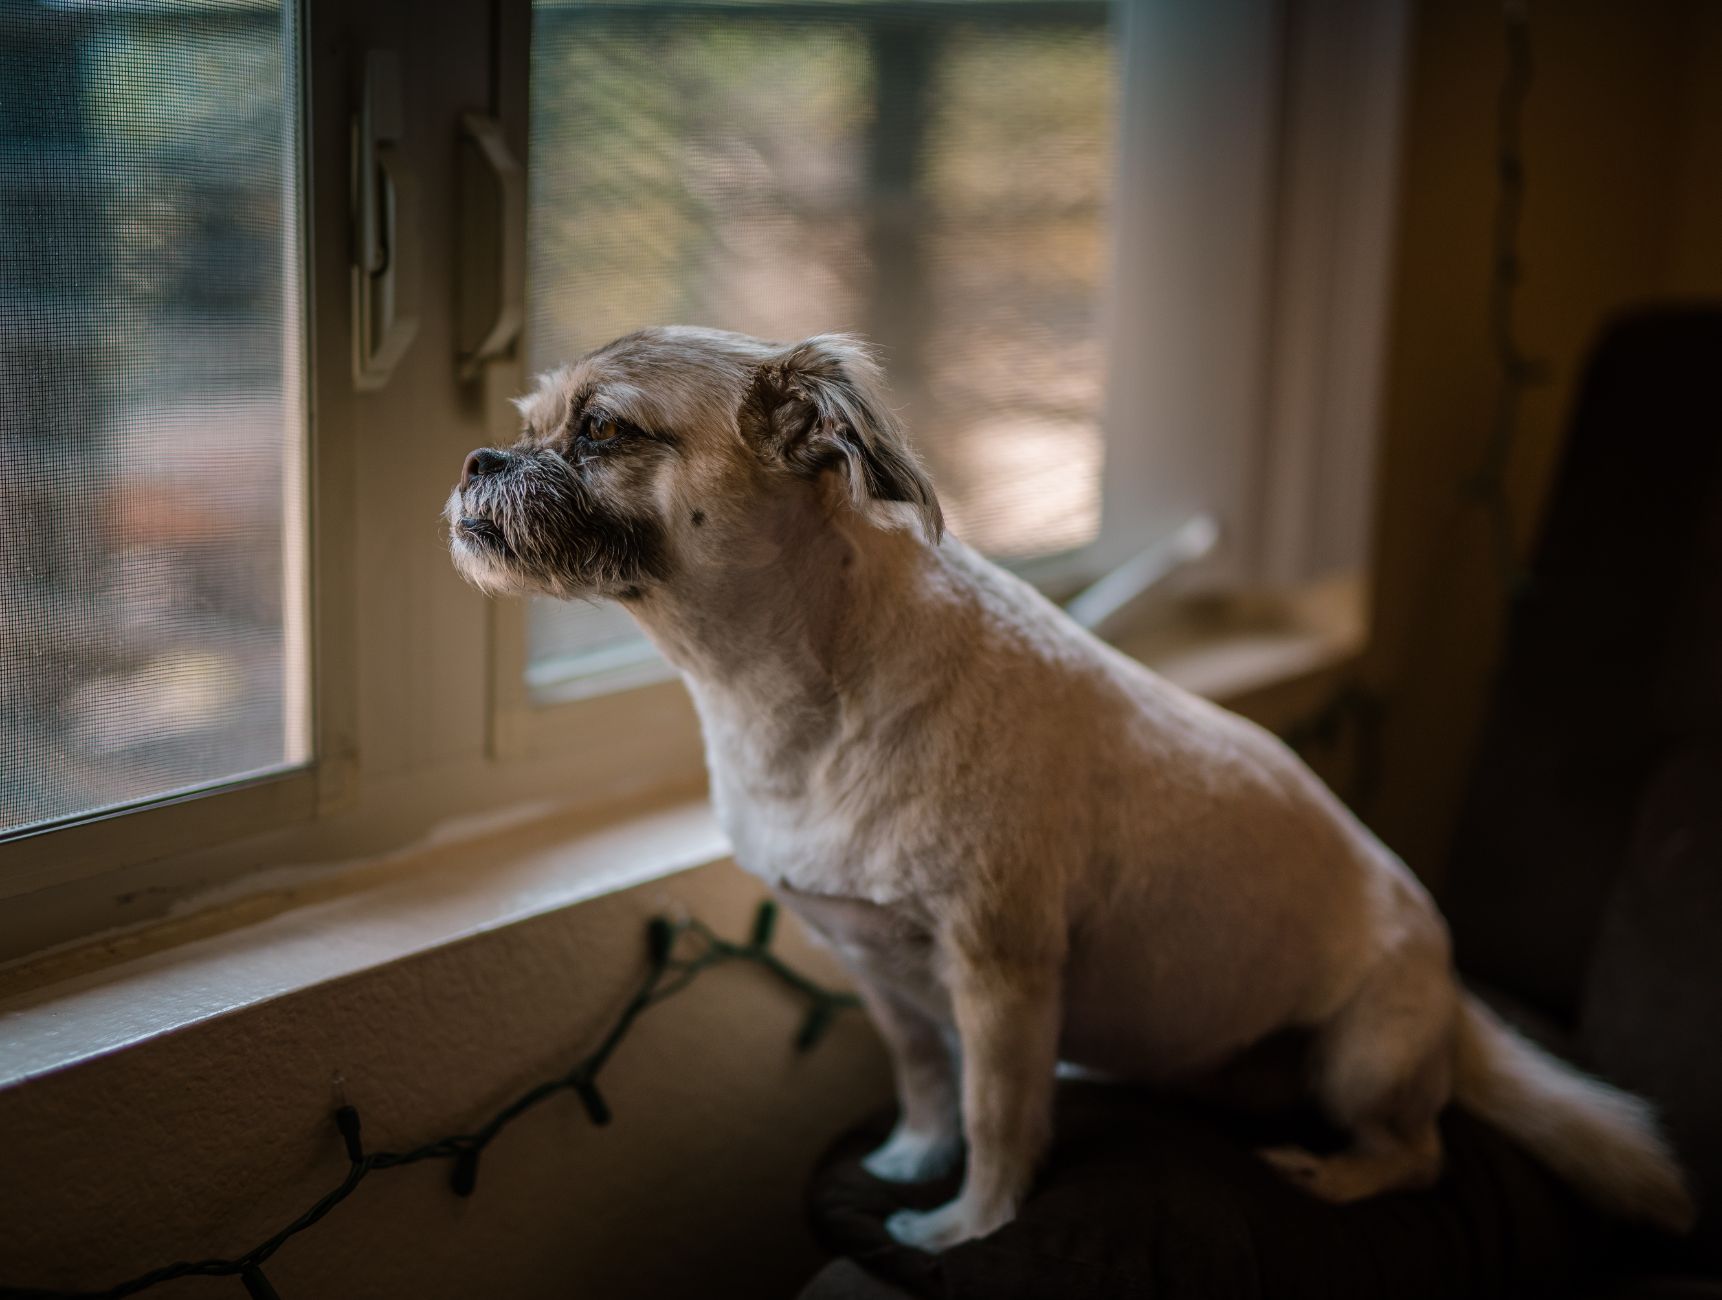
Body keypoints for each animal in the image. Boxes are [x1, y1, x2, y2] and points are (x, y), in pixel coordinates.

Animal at [444, 325, 1694, 1253]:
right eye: (530, 423)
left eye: (603, 431)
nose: (476, 462)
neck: (794, 693)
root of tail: (1453, 1001)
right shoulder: (882, 974)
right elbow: (927, 1085)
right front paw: (911, 1160)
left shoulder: (1000, 976)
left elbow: (999, 1116)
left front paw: (965, 1226)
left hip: (1362, 1056)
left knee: (1418, 1153)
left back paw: (1328, 1173)